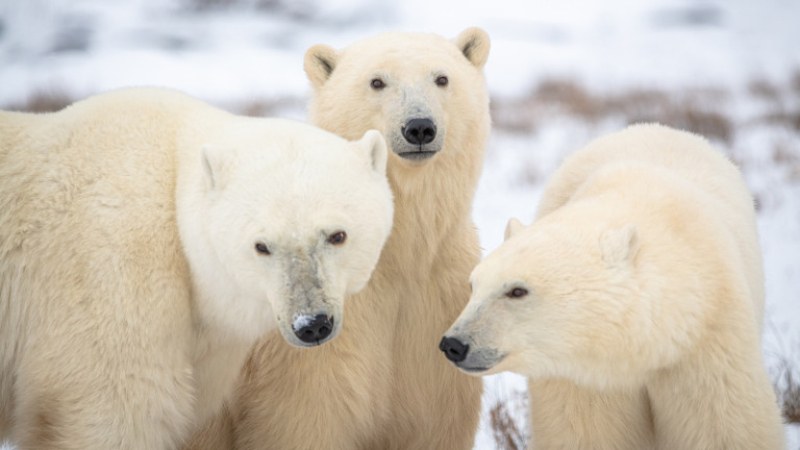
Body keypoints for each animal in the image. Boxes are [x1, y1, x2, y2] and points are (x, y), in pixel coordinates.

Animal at [189, 29, 494, 450]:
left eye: (442, 78)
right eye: (377, 81)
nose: (419, 127)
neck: (398, 256)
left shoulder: (438, 304)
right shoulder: (312, 358)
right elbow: (312, 420)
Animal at [440, 124, 784, 450]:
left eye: (517, 290)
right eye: (473, 285)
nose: (454, 344)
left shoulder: (706, 345)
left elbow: (724, 429)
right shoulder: (583, 377)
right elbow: (585, 435)